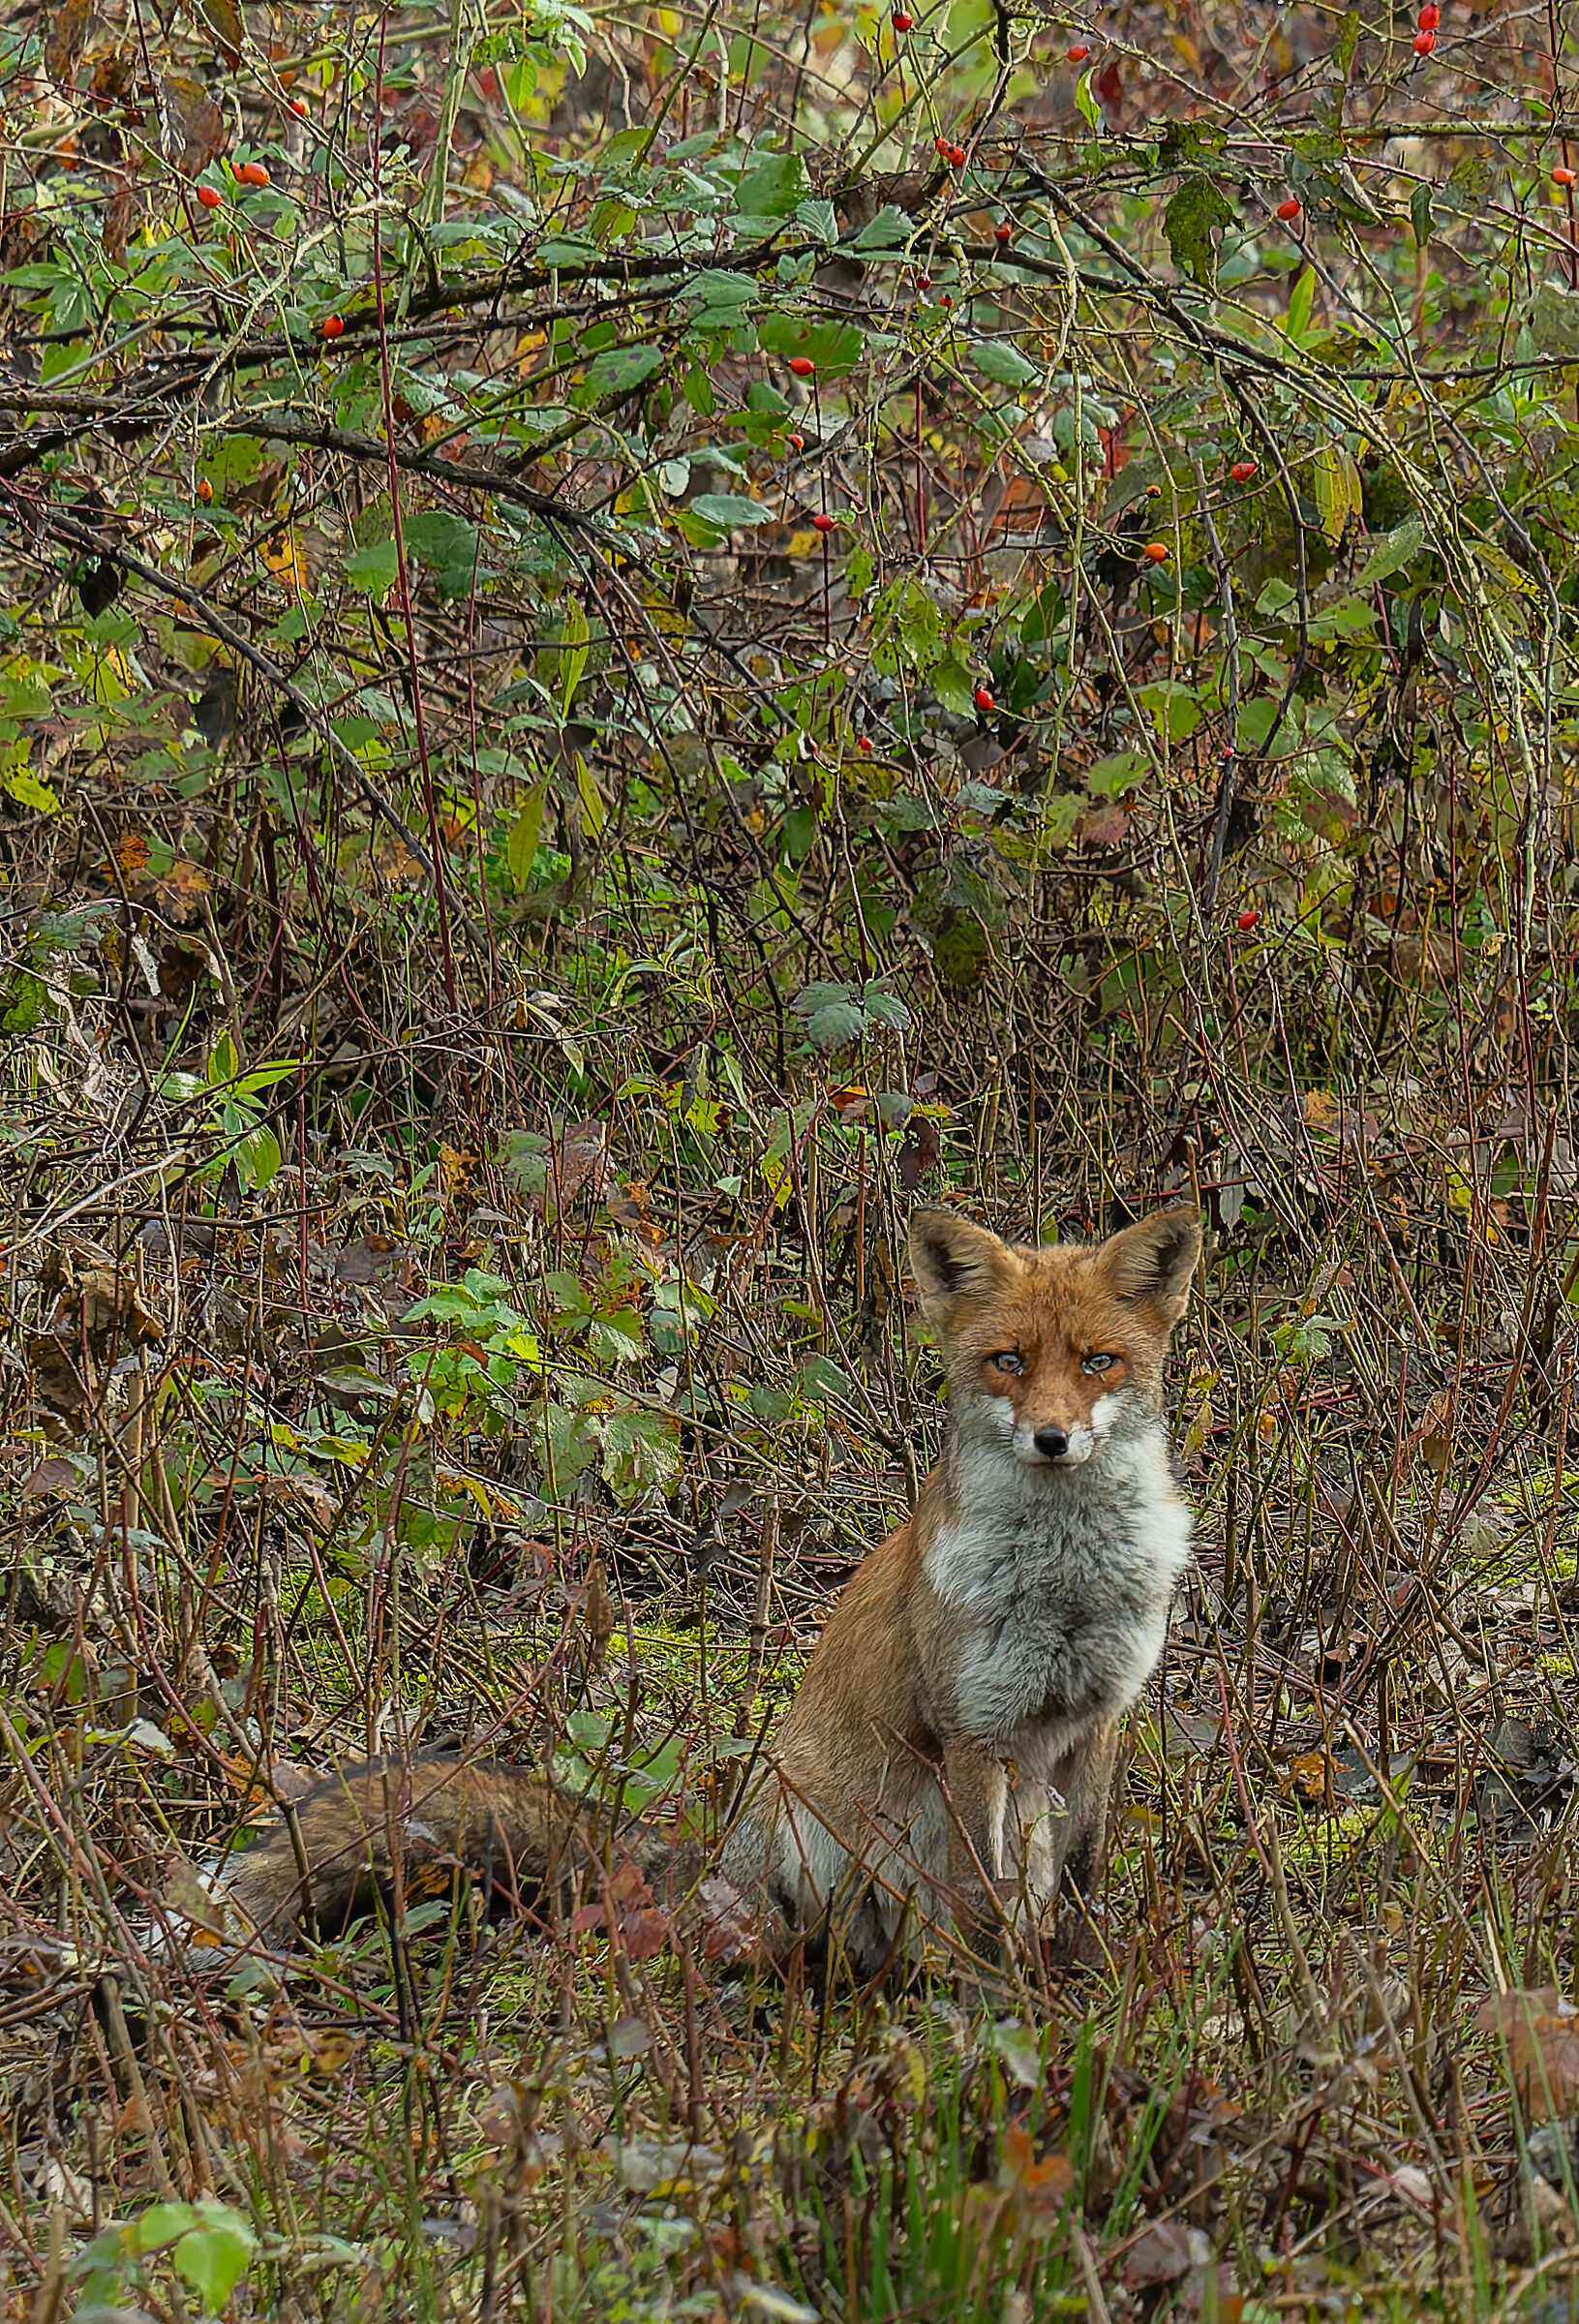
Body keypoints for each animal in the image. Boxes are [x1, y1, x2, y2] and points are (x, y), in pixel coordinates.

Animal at [215, 1204, 1200, 1983]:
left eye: (1097, 1363)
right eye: (1008, 1361)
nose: (1051, 1439)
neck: (1063, 1587)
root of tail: (710, 1859)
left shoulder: (1094, 1720)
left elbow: (1081, 1876)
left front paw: (1079, 1981)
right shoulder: (975, 1733)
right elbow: (979, 1902)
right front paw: (997, 2008)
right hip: (823, 1825)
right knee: (816, 1945)